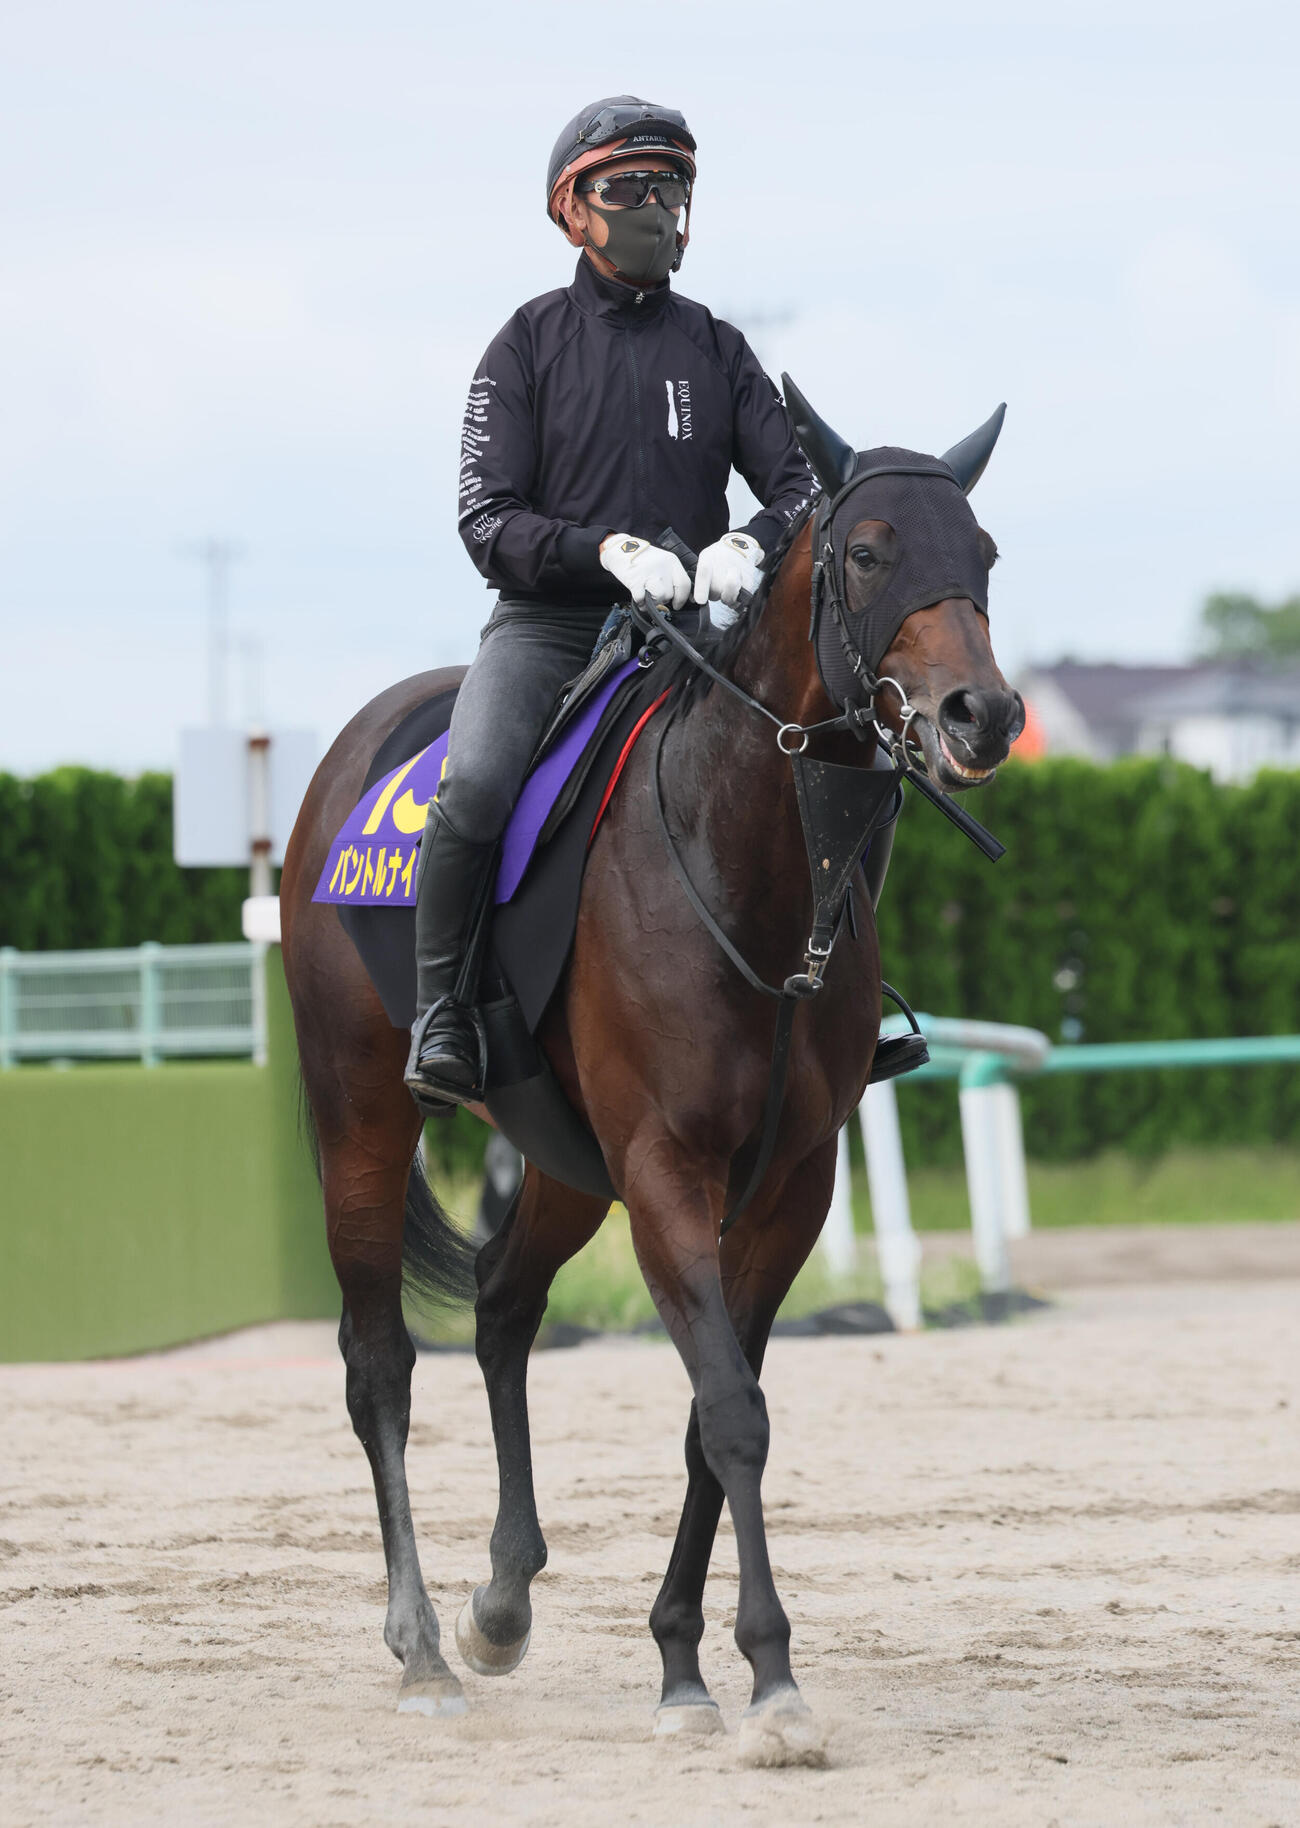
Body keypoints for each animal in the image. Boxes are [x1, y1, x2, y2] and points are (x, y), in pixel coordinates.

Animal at [279, 380, 1024, 1765]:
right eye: (866, 551)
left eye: (985, 554)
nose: (981, 715)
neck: (748, 865)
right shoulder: (669, 1168)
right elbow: (729, 1407)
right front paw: (768, 1679)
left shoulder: (786, 1185)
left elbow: (709, 1412)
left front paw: (684, 1660)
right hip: (359, 1117)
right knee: (379, 1363)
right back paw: (422, 1648)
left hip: (565, 1163)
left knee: (504, 1307)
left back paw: (501, 1602)